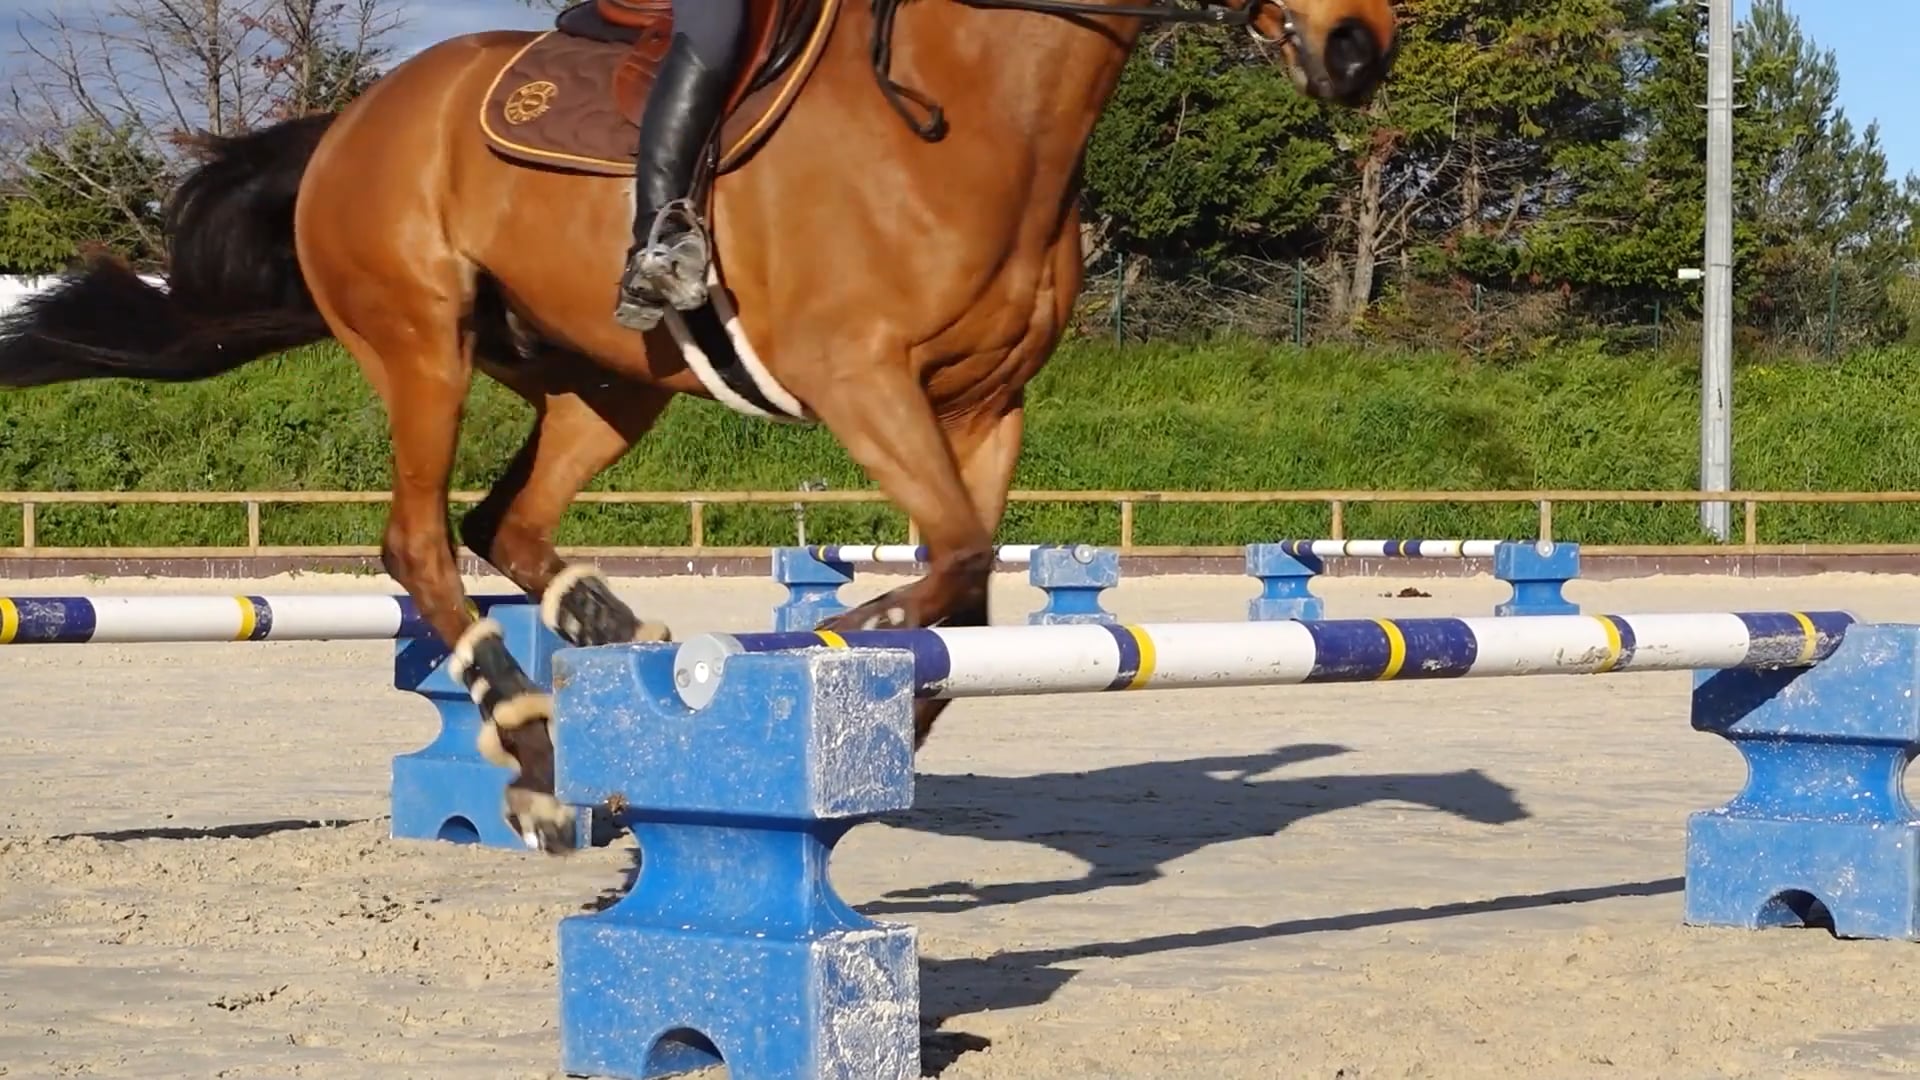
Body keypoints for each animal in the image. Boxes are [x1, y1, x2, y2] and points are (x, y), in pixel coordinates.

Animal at [0, 0, 1396, 852]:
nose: (1360, 49)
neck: (978, 114)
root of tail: (355, 116)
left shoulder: (987, 403)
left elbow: (971, 577)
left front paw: (890, 711)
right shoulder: (859, 377)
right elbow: (946, 561)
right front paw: (842, 648)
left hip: (607, 382)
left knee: (506, 521)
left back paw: (614, 643)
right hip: (422, 343)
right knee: (419, 543)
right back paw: (535, 751)